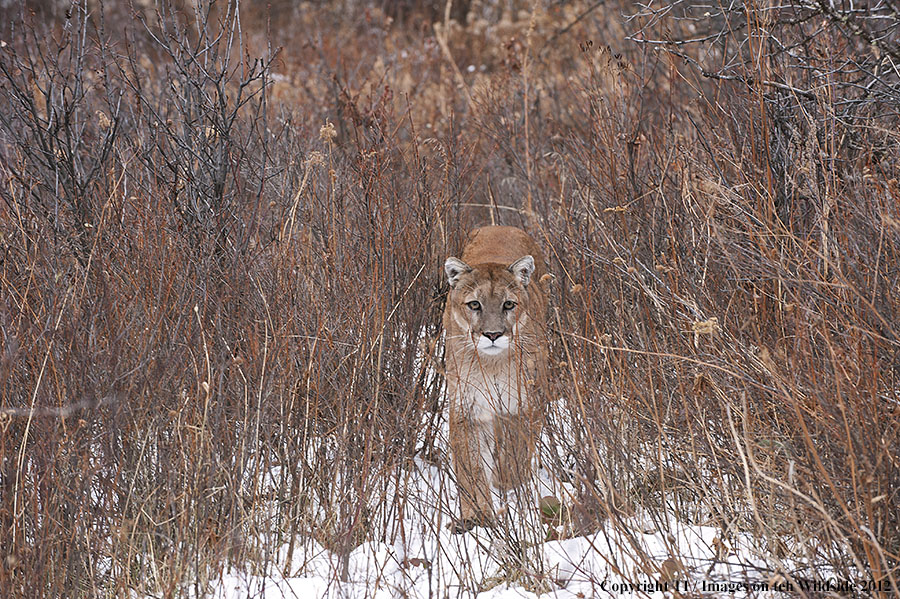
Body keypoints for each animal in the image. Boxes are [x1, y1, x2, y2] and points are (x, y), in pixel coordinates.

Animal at [442, 226, 548, 532]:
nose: (492, 334)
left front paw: (506, 481)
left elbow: (516, 451)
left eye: (508, 304)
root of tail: (497, 226)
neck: (492, 365)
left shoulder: (526, 403)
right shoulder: (467, 410)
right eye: (474, 304)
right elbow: (471, 467)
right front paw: (475, 516)